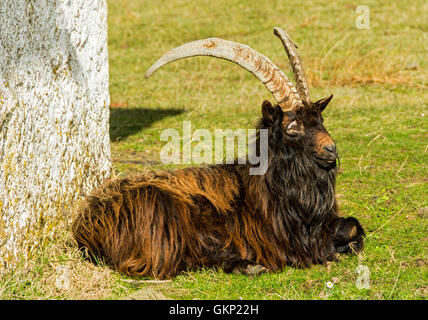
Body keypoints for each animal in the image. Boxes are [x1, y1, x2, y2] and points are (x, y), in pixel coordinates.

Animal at [72, 26, 364, 278]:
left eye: (320, 121)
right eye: (292, 127)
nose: (331, 149)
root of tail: (87, 225)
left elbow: (353, 226)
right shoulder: (281, 240)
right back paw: (248, 265)